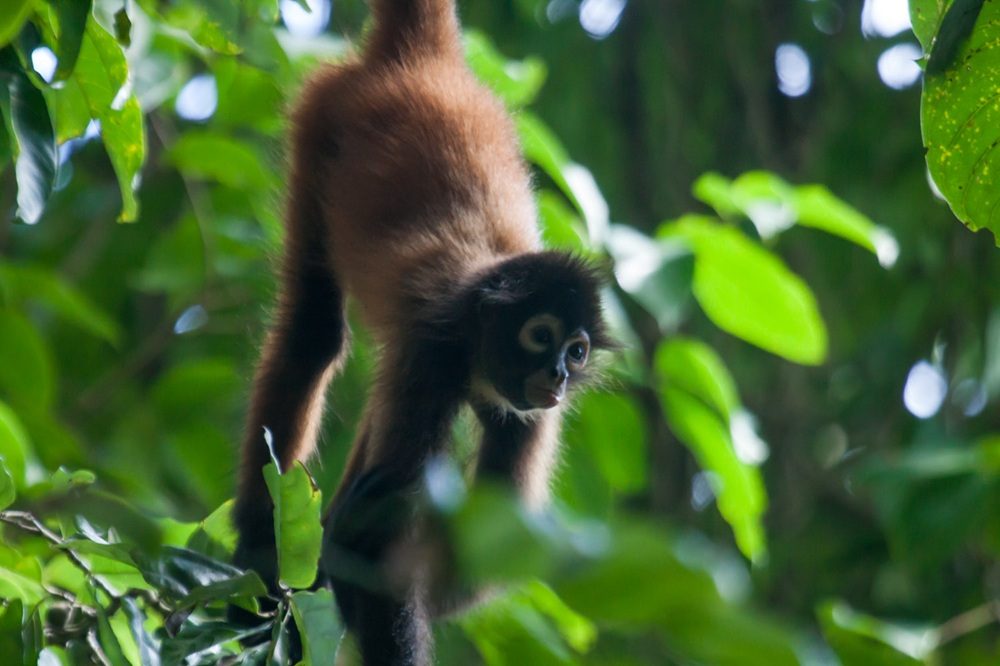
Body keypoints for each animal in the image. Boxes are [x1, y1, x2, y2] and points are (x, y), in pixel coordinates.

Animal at [231, 0, 613, 663]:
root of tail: (424, 61)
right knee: (313, 331)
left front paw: (347, 538)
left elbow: (475, 559)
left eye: (578, 350)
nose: (559, 374)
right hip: (320, 121)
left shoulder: (530, 411)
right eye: (540, 336)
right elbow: (383, 544)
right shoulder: (434, 351)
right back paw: (259, 550)